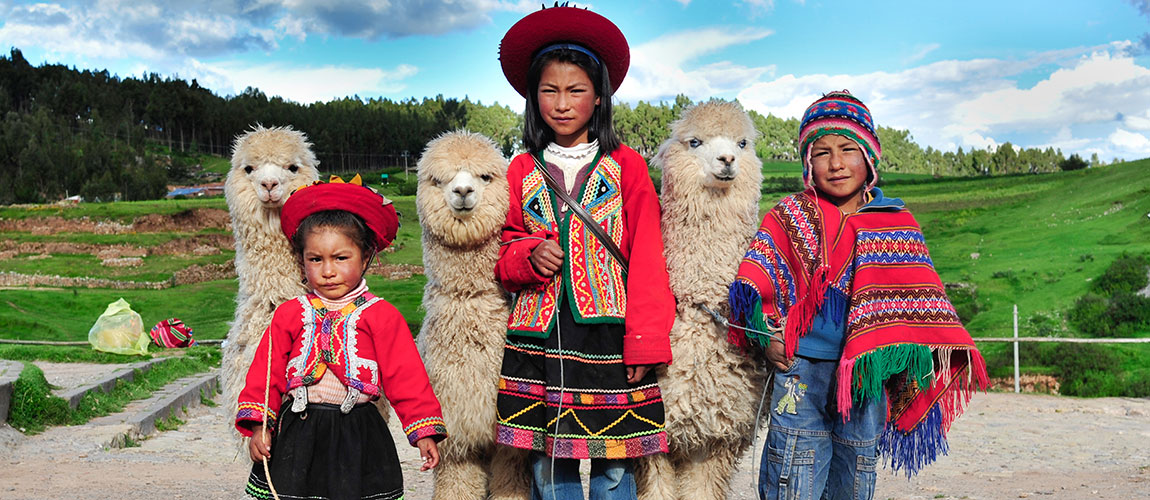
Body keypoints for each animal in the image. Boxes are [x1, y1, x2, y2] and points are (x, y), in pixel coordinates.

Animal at [414, 131, 529, 500]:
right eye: (438, 179)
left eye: (485, 176)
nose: (463, 191)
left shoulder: (505, 439)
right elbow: (457, 487)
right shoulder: (456, 434)